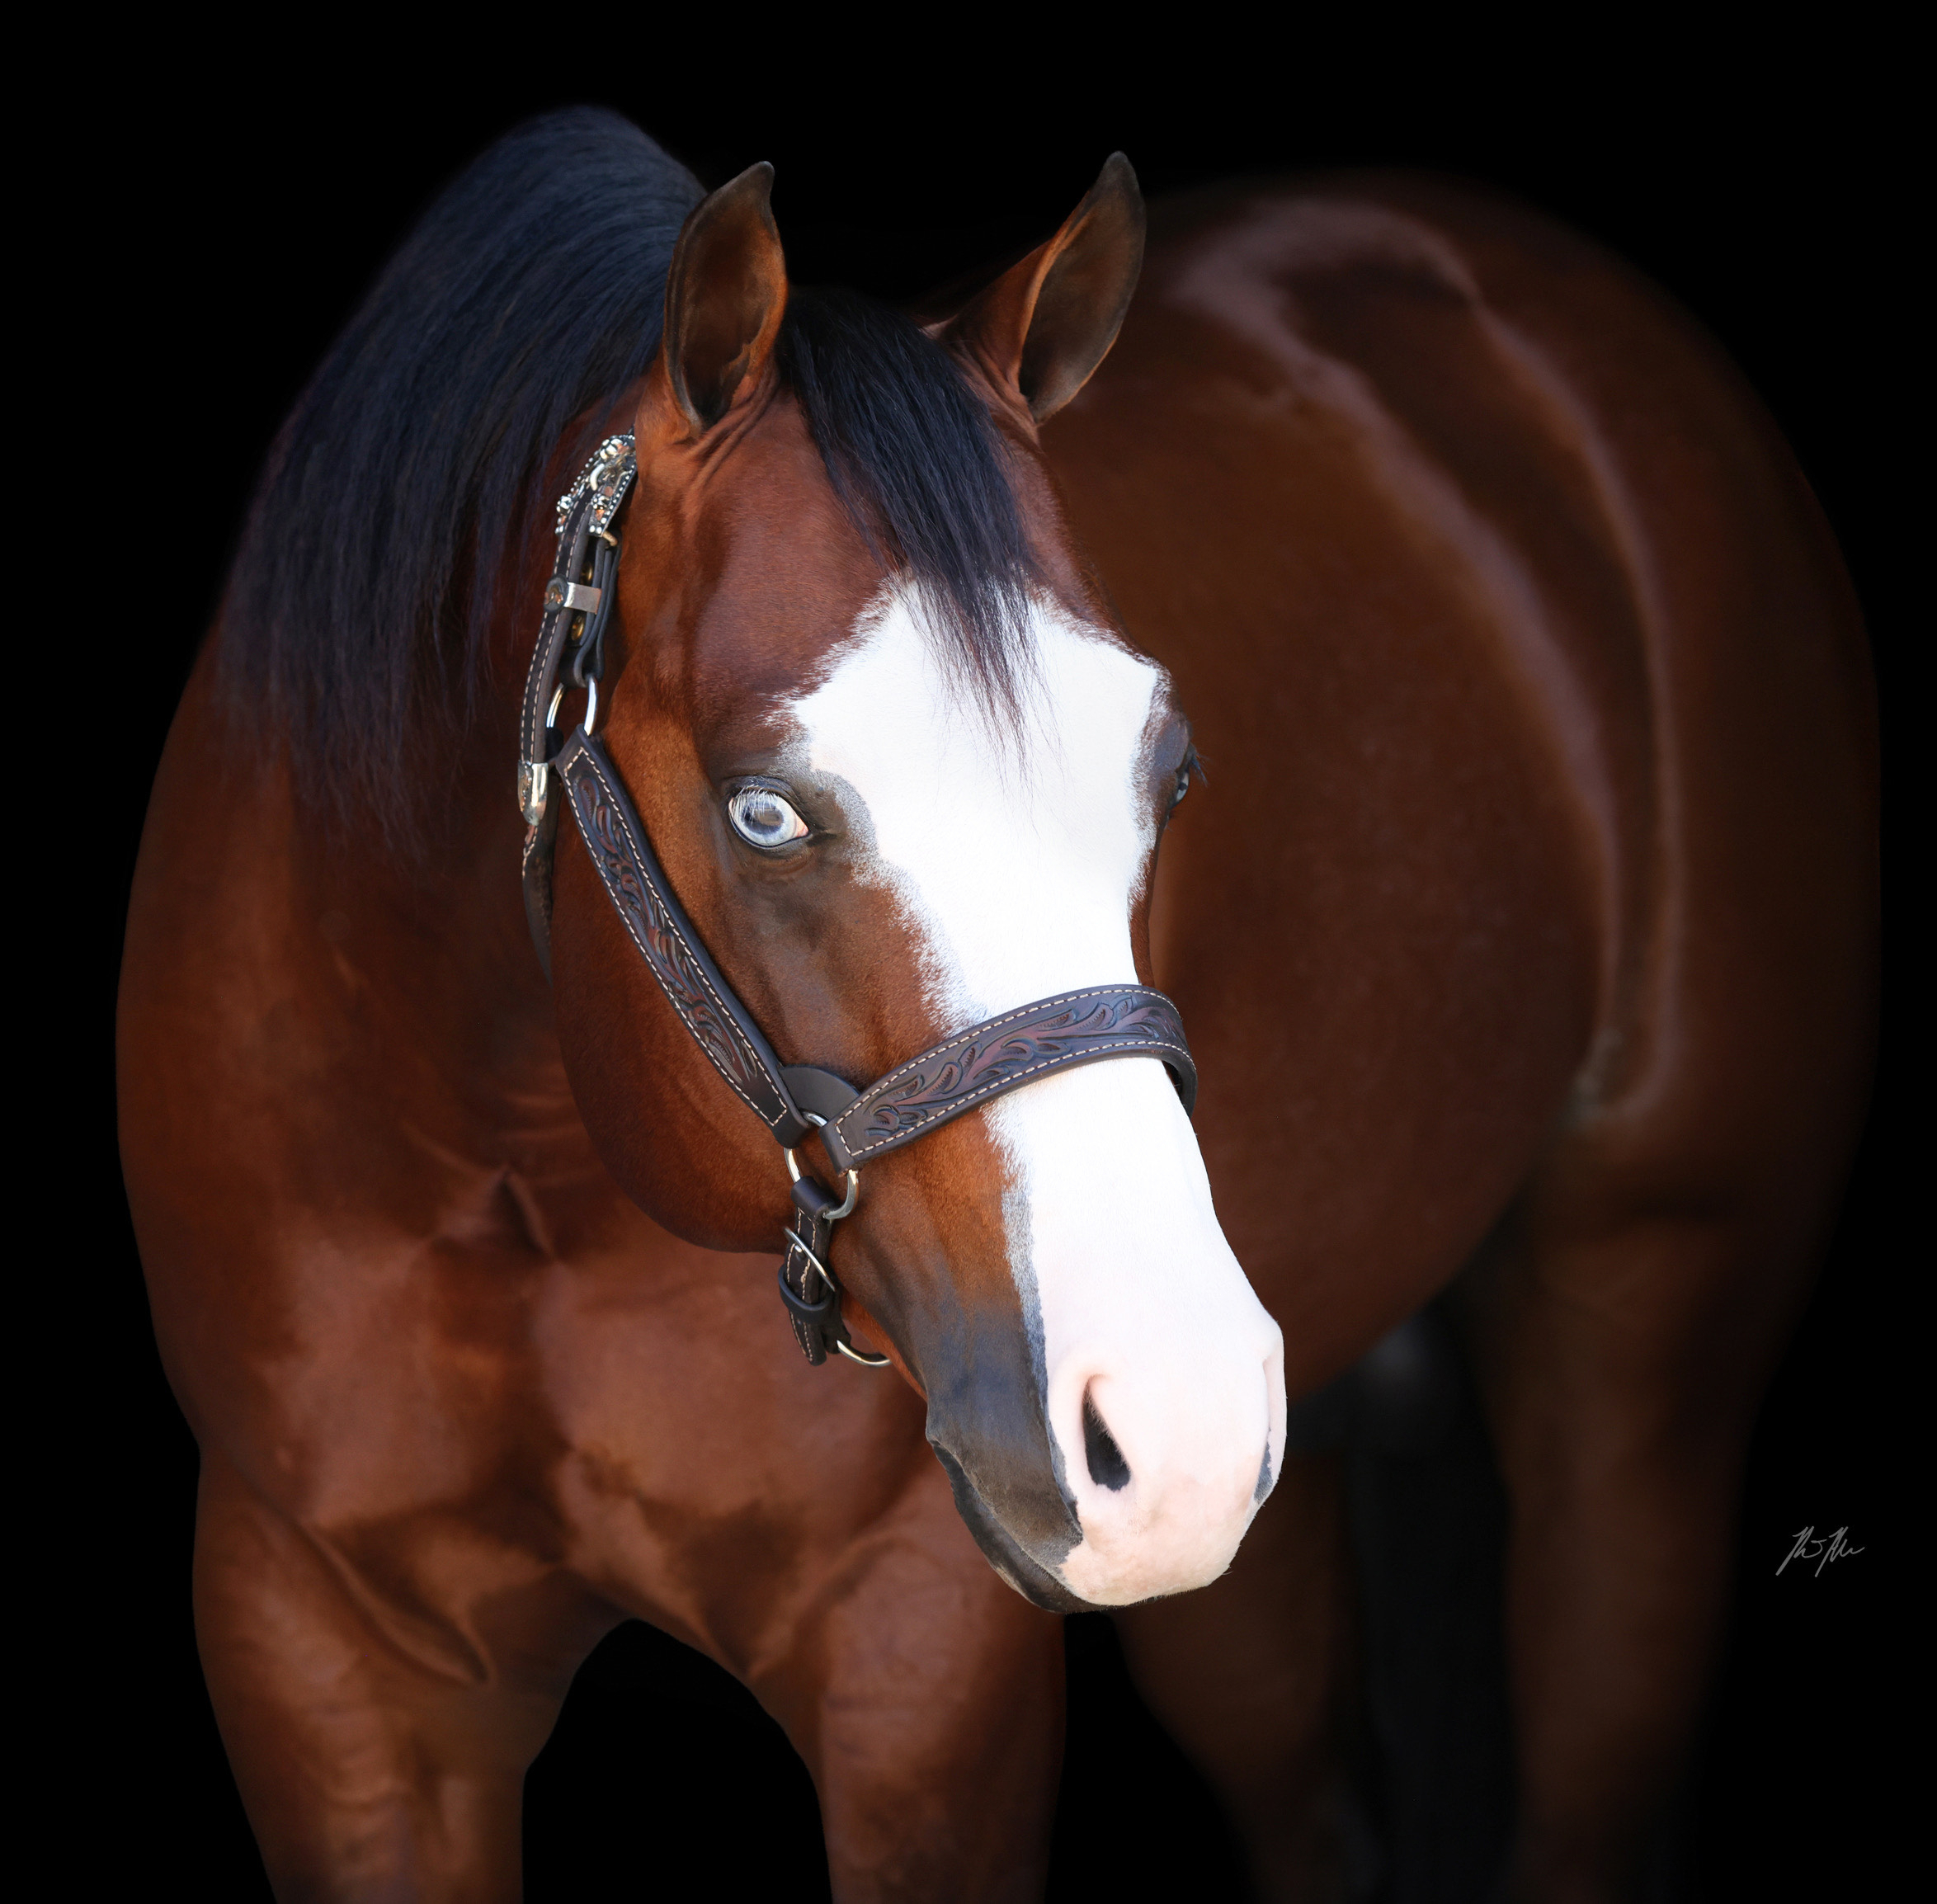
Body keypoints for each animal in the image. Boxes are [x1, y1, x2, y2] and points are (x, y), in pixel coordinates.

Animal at [117, 109, 1875, 1901]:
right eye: (764, 811)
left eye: (1168, 770)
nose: (1173, 1415)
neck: (508, 1152)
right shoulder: (324, 1652)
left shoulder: (920, 1661)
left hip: (1638, 1364)